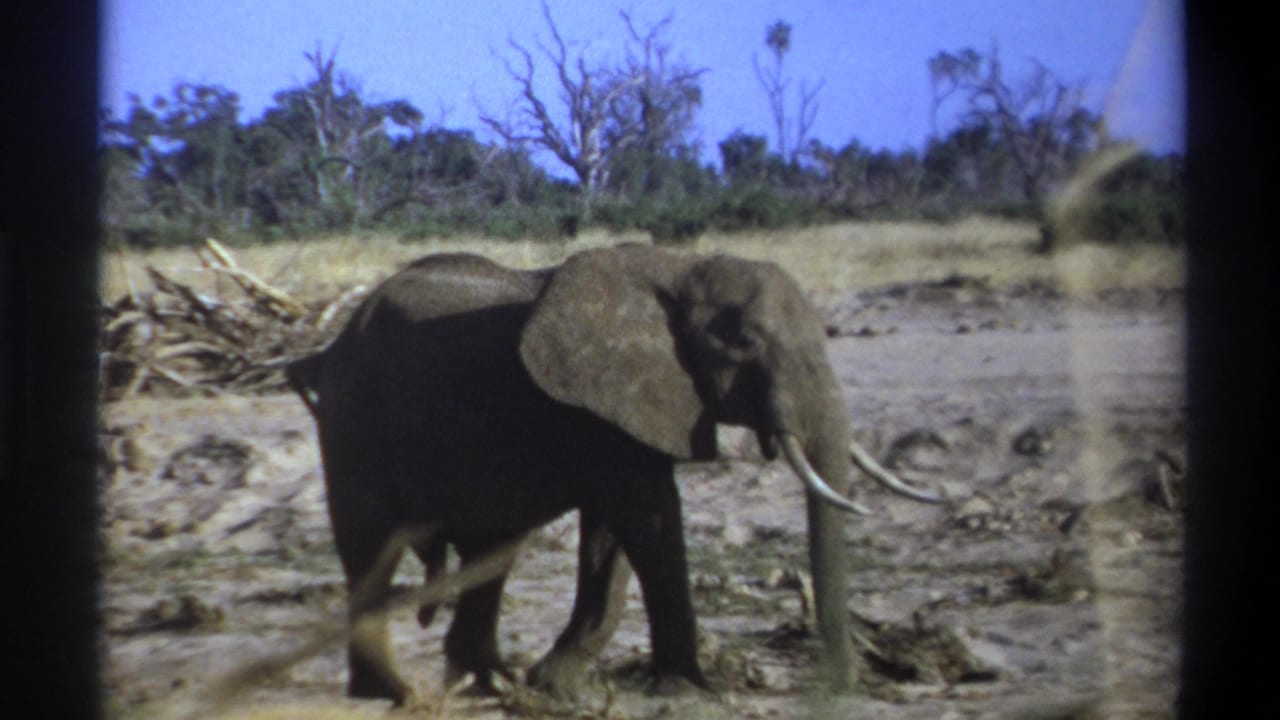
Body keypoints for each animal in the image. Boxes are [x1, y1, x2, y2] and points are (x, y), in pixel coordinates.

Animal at [286, 244, 940, 704]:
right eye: (744, 341)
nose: (839, 690)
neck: (678, 267)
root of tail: (324, 349)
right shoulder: (602, 406)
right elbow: (648, 519)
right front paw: (688, 690)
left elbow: (614, 534)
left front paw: (558, 687)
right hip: (354, 425)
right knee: (371, 550)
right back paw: (397, 695)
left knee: (492, 549)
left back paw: (489, 683)